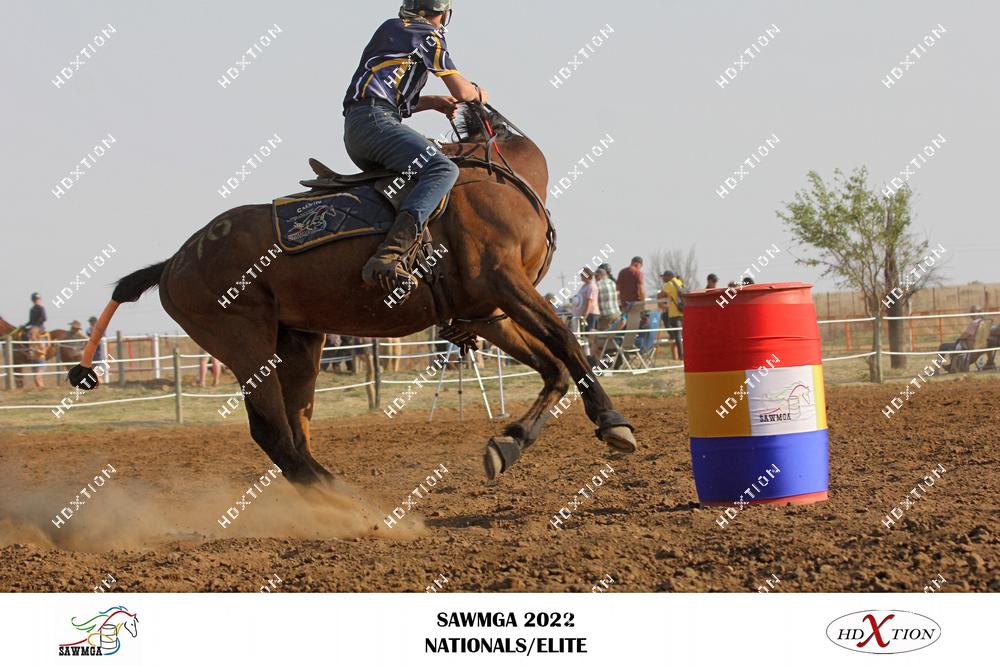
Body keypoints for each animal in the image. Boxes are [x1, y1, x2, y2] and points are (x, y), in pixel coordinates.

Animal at [68, 104, 637, 489]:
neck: (497, 175)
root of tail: (174, 262)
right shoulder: (502, 281)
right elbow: (567, 339)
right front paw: (614, 423)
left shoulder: (487, 312)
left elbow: (554, 367)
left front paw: (508, 444)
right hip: (245, 342)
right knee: (272, 433)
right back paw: (347, 504)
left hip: (299, 342)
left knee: (295, 432)